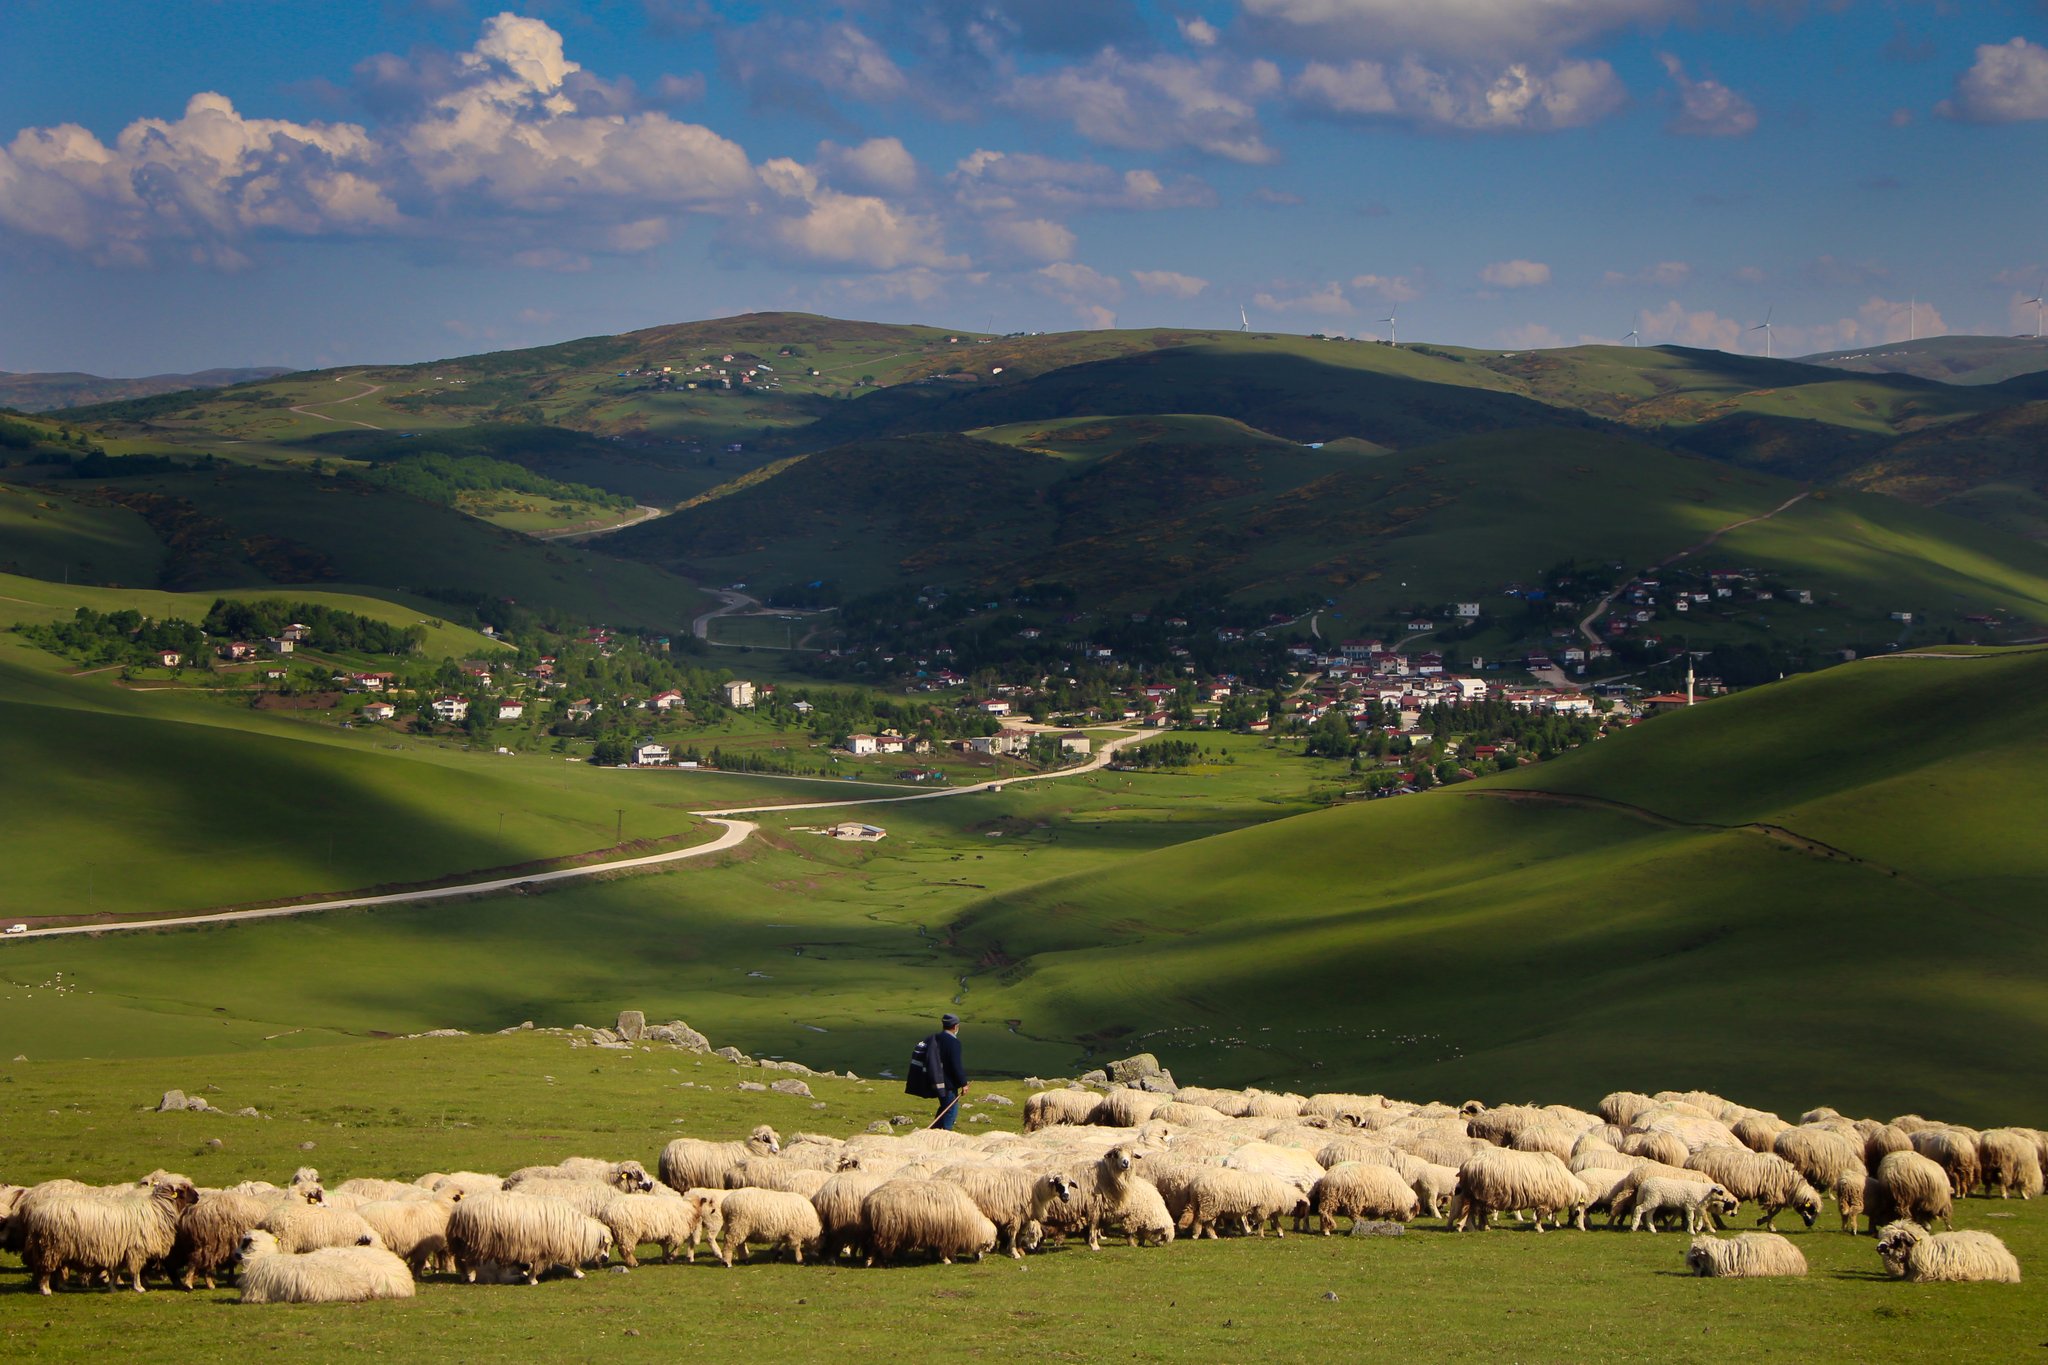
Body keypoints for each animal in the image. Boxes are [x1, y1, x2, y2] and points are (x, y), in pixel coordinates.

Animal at [20, 1170, 197, 1301]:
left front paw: (112, 1287)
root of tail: (36, 1213)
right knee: (46, 1270)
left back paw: (62, 1286)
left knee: (57, 1268)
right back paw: (45, 1290)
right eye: (185, 1188)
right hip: (51, 1247)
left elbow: (116, 1271)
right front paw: (139, 1287)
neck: (158, 1208)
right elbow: (135, 1271)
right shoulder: (136, 1249)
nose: (197, 1197)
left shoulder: (120, 1250)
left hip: (56, 1247)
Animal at [448, 1186, 606, 1285]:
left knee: (459, 1259)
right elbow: (546, 1265)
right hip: (475, 1240)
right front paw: (533, 1280)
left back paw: (465, 1276)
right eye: (606, 1243)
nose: (605, 1259)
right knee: (465, 1260)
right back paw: (470, 1276)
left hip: (461, 1240)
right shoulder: (546, 1249)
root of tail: (459, 1208)